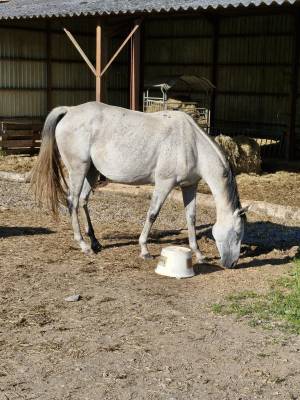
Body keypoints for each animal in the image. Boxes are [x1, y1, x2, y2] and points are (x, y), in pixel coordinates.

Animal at [31, 101, 250, 268]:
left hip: (91, 172)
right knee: (73, 202)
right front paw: (144, 250)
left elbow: (191, 218)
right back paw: (83, 245)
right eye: (237, 233)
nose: (231, 263)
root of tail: (70, 110)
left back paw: (95, 242)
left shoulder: (189, 186)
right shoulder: (164, 183)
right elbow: (152, 214)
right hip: (78, 170)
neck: (191, 142)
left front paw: (199, 254)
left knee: (83, 201)